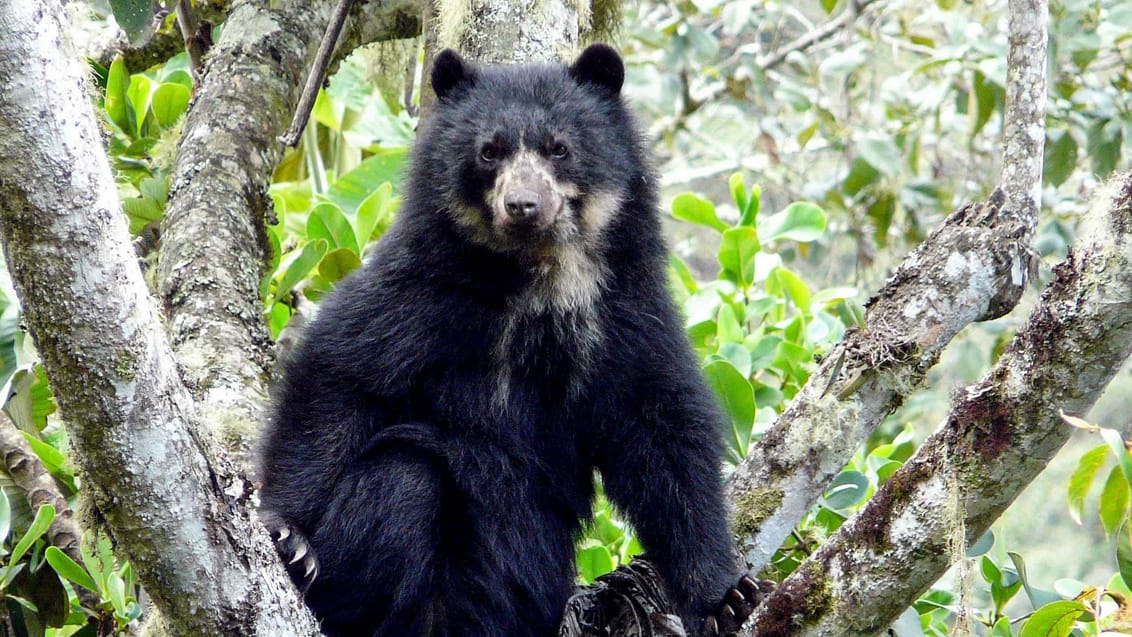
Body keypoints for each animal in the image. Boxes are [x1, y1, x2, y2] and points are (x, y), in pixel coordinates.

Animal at [259, 46, 756, 637]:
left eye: (559, 148)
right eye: (489, 152)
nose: (522, 205)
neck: (538, 274)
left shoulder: (627, 313)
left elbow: (665, 437)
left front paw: (727, 597)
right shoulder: (418, 291)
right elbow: (338, 377)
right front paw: (288, 537)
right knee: (404, 478)